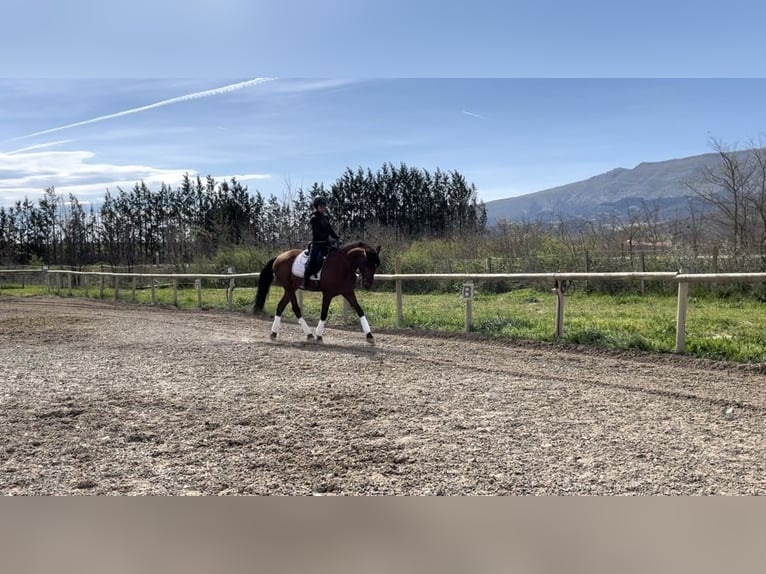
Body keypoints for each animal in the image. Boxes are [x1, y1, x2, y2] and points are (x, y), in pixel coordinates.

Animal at [254, 241, 382, 344]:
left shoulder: (348, 292)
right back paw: (309, 334)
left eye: (376, 265)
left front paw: (369, 335)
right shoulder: (328, 294)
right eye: (367, 263)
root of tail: (279, 257)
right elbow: (324, 313)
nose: (367, 285)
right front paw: (319, 335)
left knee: (281, 306)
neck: (343, 265)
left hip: (291, 288)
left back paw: (274, 333)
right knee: (295, 308)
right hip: (289, 287)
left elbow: (359, 310)